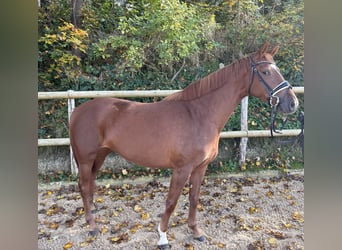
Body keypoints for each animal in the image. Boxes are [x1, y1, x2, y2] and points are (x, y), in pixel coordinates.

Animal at [69, 43, 296, 248]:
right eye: (266, 72)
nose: (293, 103)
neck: (198, 114)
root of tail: (77, 112)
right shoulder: (181, 169)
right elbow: (171, 202)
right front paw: (162, 237)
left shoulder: (200, 167)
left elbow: (194, 198)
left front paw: (196, 231)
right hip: (87, 158)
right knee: (84, 186)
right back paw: (92, 226)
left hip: (101, 155)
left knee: (91, 183)